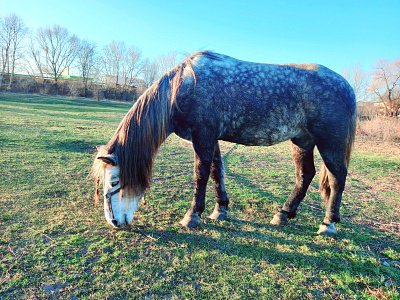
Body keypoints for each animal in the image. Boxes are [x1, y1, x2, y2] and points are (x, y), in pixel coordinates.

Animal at [92, 51, 354, 234]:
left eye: (114, 181)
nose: (113, 221)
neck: (185, 88)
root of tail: (348, 87)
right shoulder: (212, 138)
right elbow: (217, 172)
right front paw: (220, 210)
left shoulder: (203, 137)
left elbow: (200, 174)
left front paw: (192, 215)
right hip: (302, 141)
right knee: (305, 175)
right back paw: (283, 214)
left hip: (329, 142)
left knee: (337, 177)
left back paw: (328, 224)